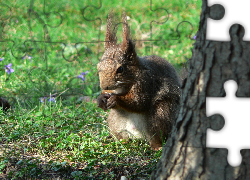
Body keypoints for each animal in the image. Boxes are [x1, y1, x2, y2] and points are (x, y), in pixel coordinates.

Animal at [96, 11, 181, 149]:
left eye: (120, 69)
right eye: (98, 66)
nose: (105, 86)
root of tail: (139, 135)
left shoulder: (146, 82)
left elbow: (139, 102)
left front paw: (116, 99)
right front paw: (100, 99)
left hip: (162, 113)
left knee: (157, 136)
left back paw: (157, 146)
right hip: (115, 121)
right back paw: (122, 141)